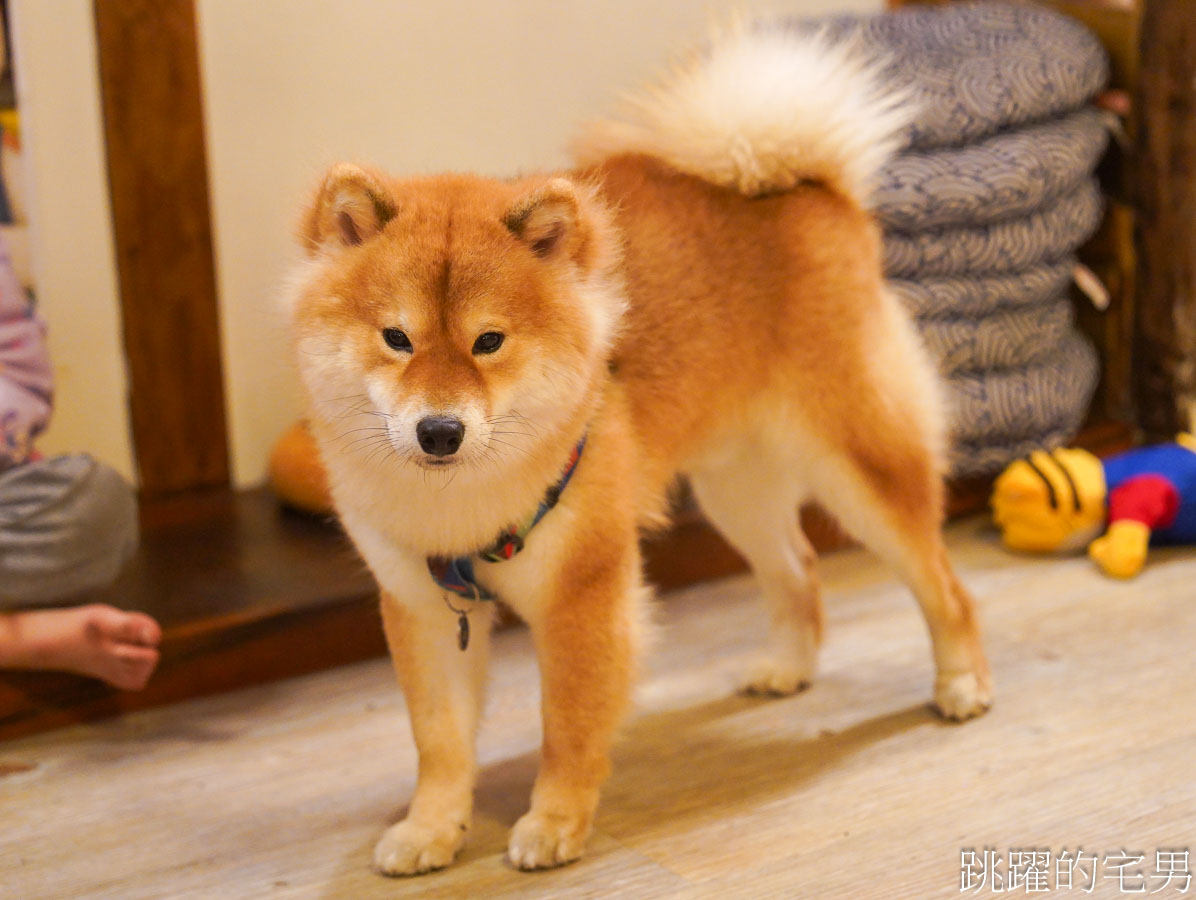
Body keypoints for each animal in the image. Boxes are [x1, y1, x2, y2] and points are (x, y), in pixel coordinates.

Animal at [287, 26, 990, 870]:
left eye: (490, 343)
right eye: (397, 339)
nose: (440, 430)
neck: (461, 504)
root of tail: (807, 188)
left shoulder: (582, 595)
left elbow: (567, 725)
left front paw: (555, 822)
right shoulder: (425, 608)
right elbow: (441, 743)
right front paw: (431, 829)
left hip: (861, 468)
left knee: (942, 583)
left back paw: (961, 684)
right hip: (736, 489)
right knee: (800, 569)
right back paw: (787, 669)